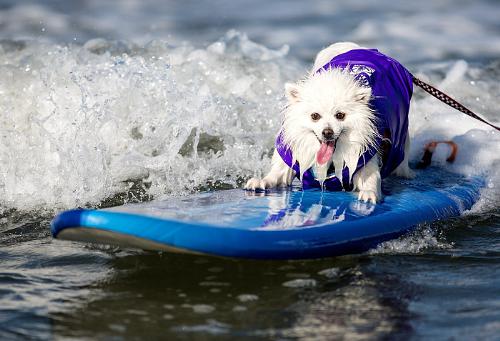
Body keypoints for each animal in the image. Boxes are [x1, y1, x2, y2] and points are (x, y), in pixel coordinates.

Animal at [245, 42, 414, 202]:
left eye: (340, 115)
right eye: (314, 116)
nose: (327, 132)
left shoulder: (364, 156)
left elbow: (371, 179)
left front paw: (369, 193)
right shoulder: (293, 156)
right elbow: (276, 175)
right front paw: (261, 181)